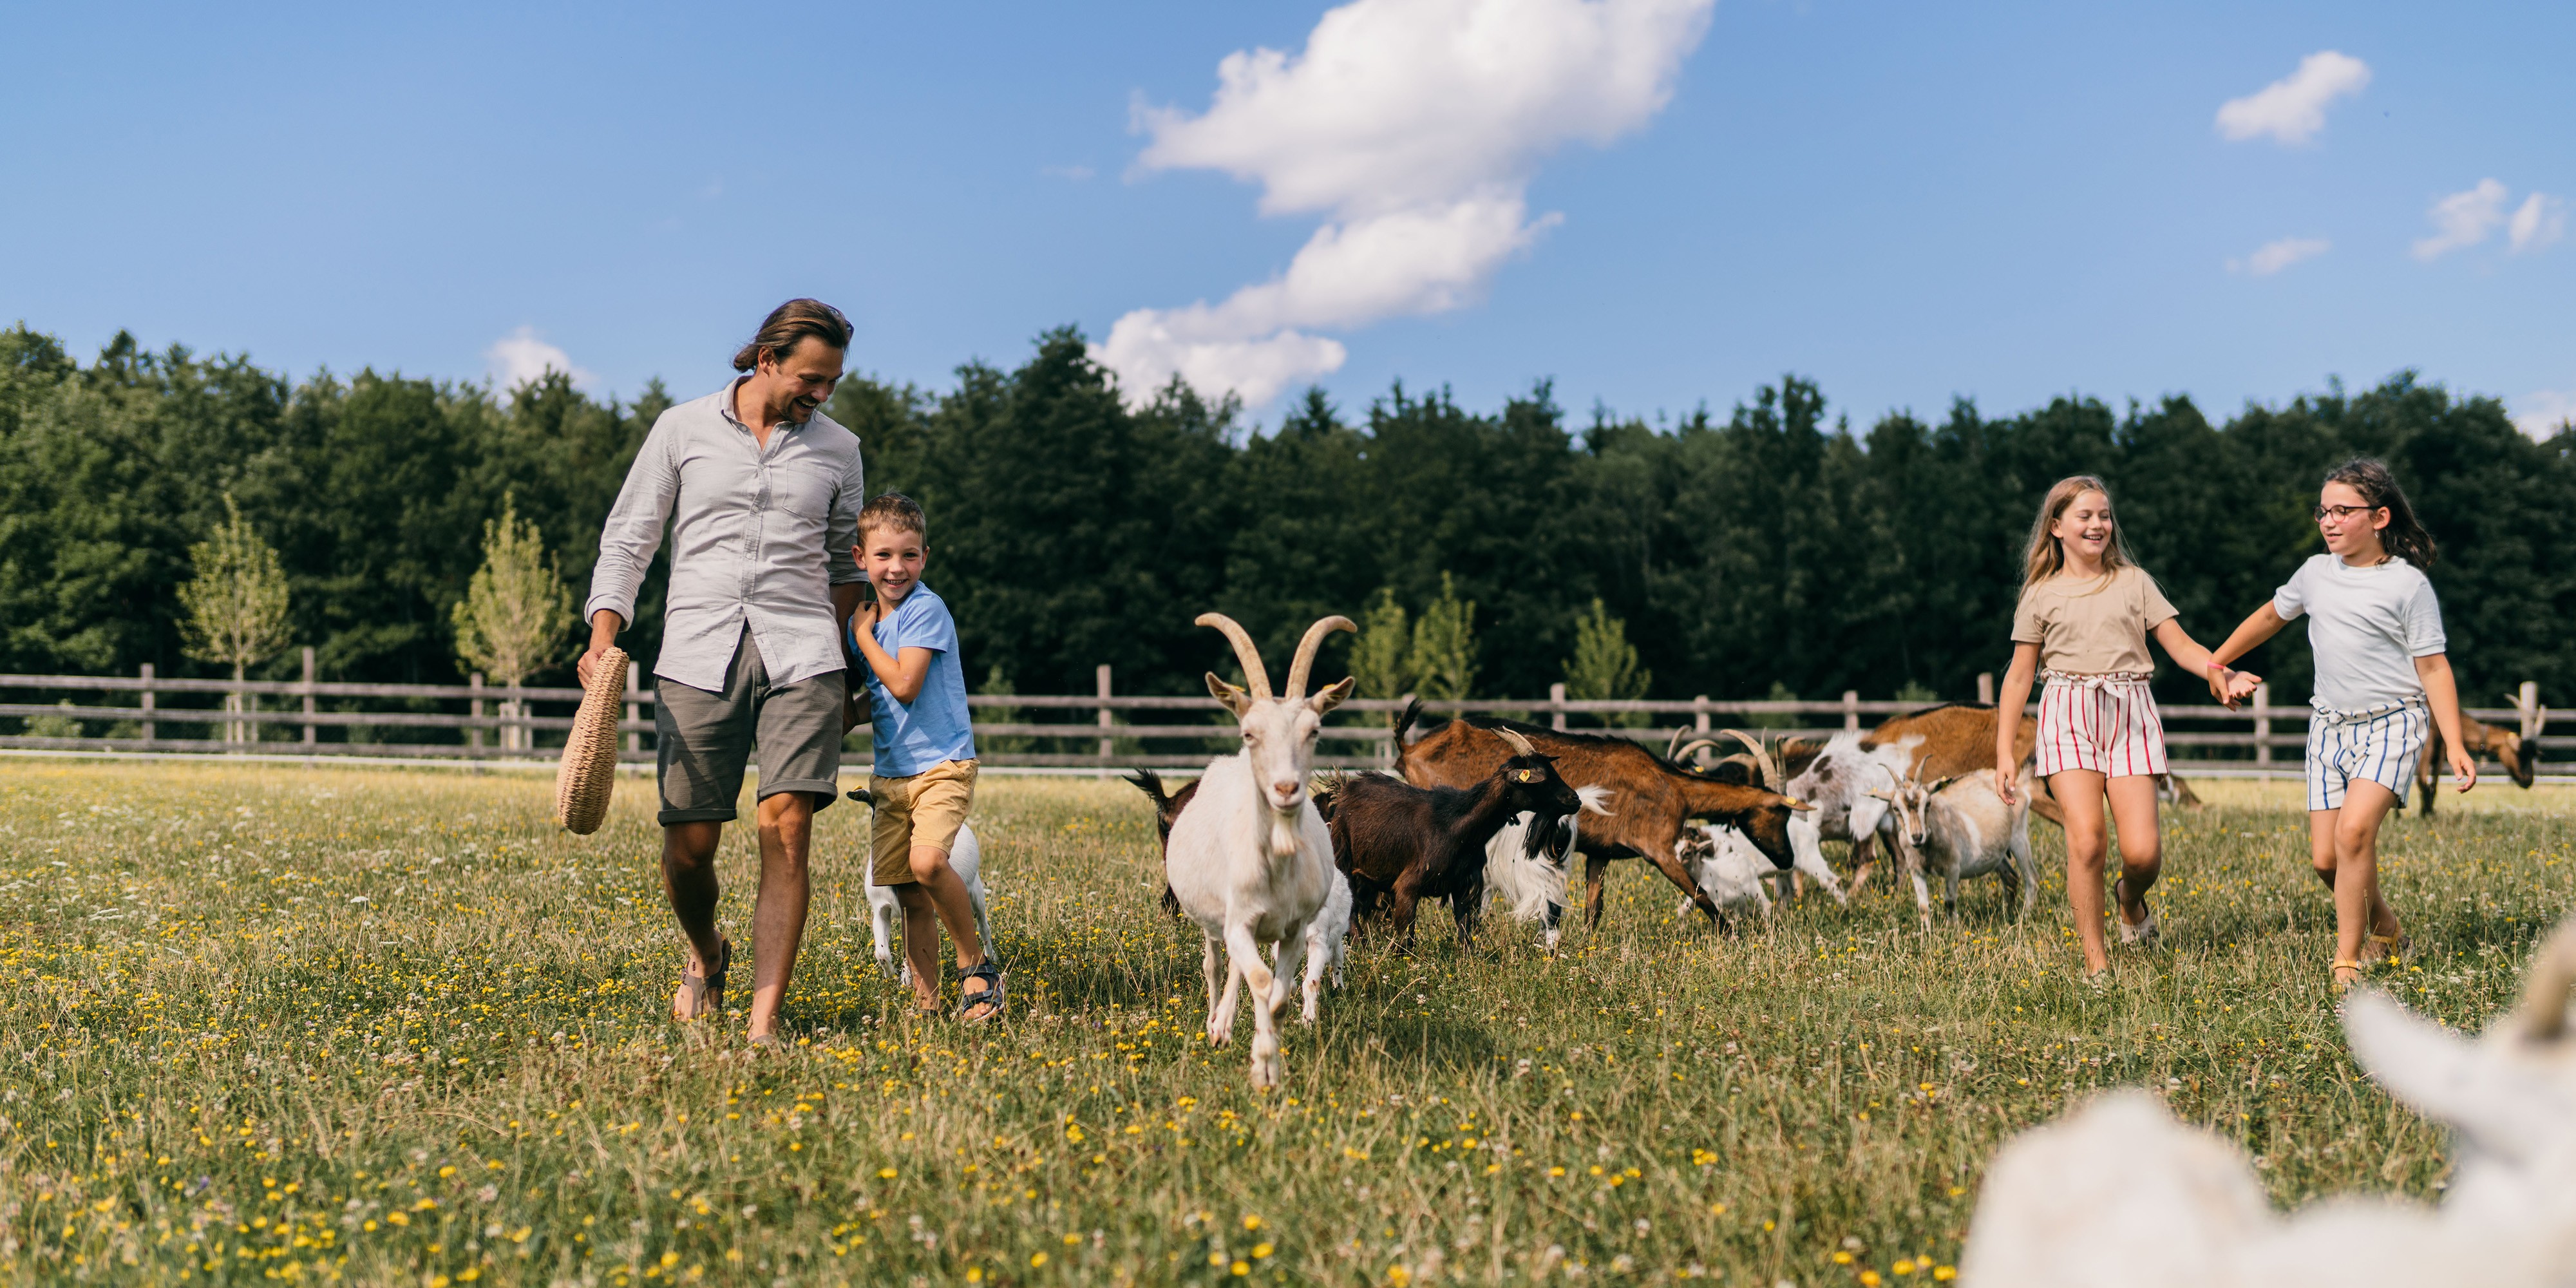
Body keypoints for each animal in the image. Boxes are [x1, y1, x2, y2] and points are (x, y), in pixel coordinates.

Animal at [1170, 611, 1360, 1087]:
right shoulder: (1237, 920)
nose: (1287, 789)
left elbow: (1278, 996)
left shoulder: (1295, 929)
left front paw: (1268, 1063)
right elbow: (1257, 980)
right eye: (1249, 733)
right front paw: (1262, 1068)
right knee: (1216, 965)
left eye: (1314, 731)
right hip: (1214, 918)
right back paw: (1215, 1023)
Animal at [1340, 732, 1577, 953]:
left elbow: (1465, 933)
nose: (1574, 799)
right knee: (1351, 912)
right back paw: (1360, 947)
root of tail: (1346, 789)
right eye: (1541, 780)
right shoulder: (1407, 887)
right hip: (1343, 861)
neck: (1454, 824)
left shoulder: (1462, 885)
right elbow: (1407, 938)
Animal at [1412, 701, 1814, 933]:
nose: (1787, 859)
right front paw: (1736, 936)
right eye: (1779, 812)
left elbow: (1594, 909)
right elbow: (1704, 899)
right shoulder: (1659, 849)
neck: (1674, 788)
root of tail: (1412, 748)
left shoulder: (1600, 853)